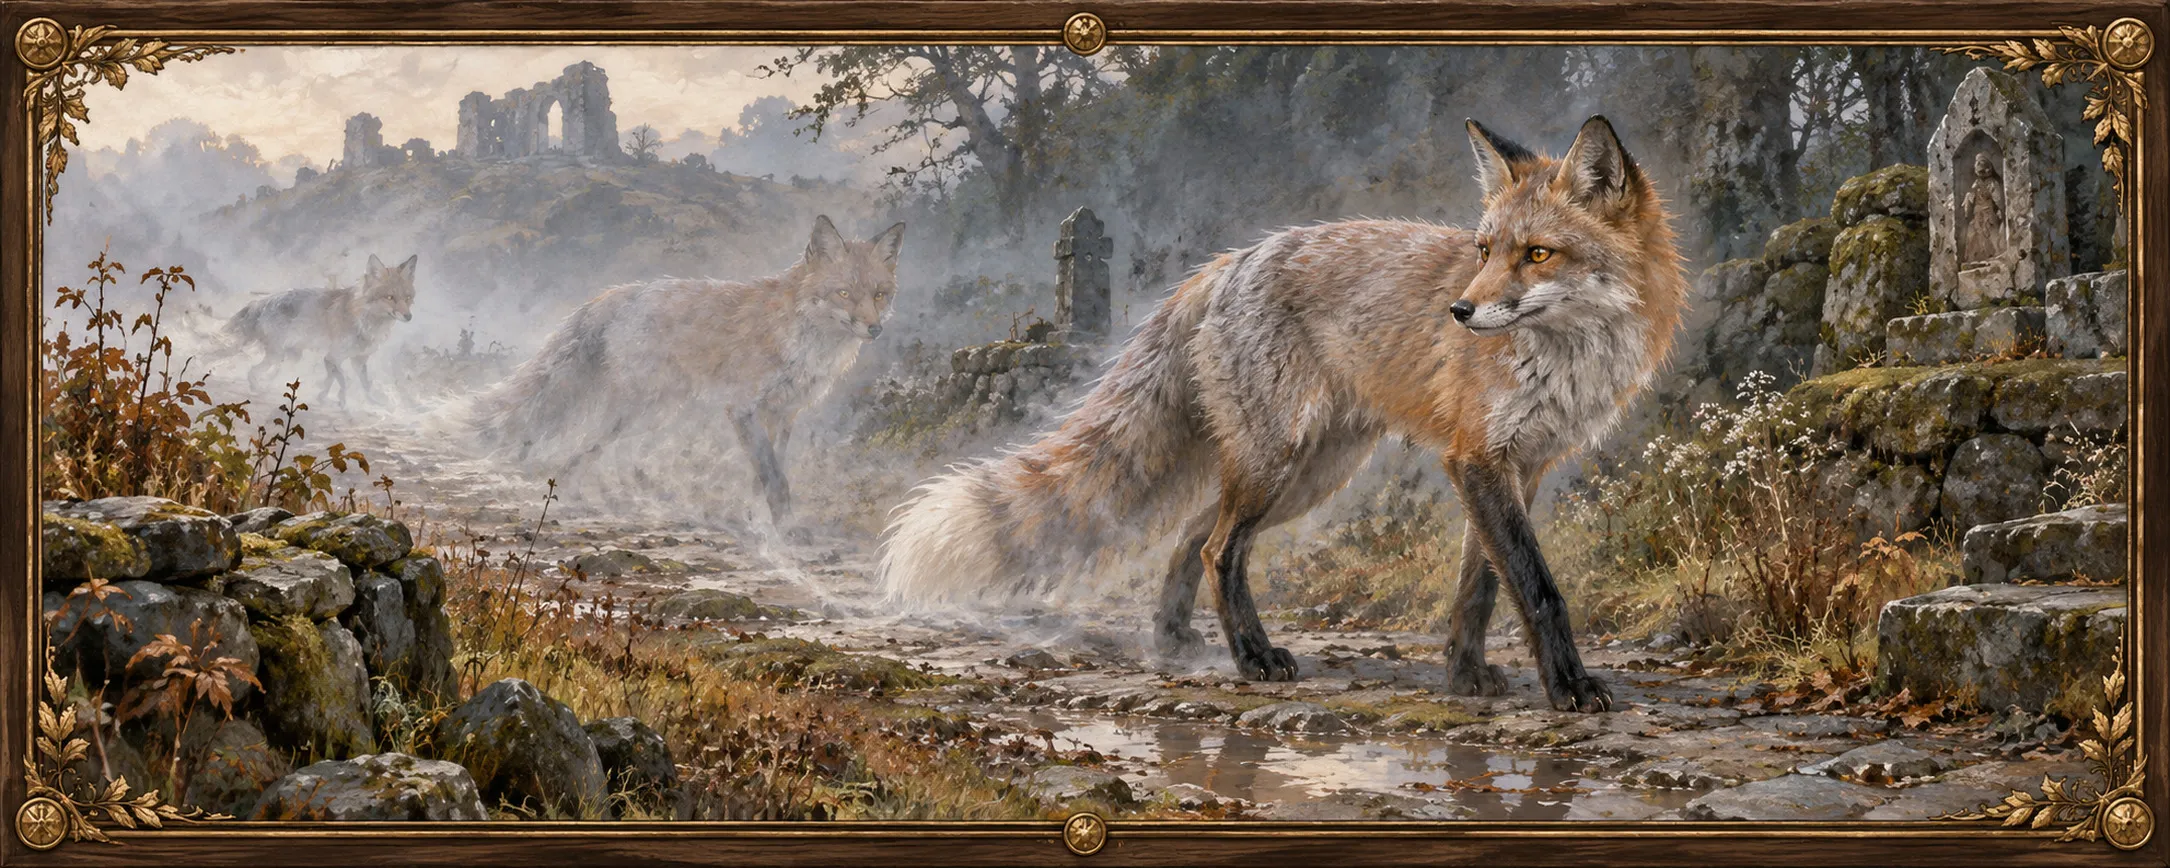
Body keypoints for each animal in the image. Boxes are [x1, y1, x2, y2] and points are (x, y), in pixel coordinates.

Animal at [224, 253, 418, 406]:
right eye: (390, 297)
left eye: (408, 297)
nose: (409, 317)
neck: (366, 323)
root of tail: (262, 301)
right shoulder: (333, 357)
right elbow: (342, 382)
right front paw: (342, 402)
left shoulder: (358, 360)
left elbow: (362, 384)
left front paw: (369, 402)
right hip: (276, 356)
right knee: (252, 371)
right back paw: (257, 388)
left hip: (292, 357)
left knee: (273, 374)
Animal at [471, 215, 905, 523]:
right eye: (843, 293)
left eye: (879, 294)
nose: (875, 329)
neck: (804, 341)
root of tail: (622, 292)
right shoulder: (743, 408)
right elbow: (775, 479)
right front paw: (787, 533)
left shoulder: (783, 413)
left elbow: (768, 474)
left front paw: (758, 519)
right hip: (640, 411)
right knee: (583, 444)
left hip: (652, 413)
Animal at [879, 116, 1688, 713]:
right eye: (1486, 250)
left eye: (1538, 254)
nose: (1459, 312)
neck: (1569, 360)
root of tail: (1230, 260)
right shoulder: (1478, 460)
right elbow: (1537, 587)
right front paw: (1569, 689)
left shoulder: (1517, 464)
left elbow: (1483, 585)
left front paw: (1465, 678)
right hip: (1283, 463)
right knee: (1218, 548)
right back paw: (1252, 658)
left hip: (1309, 472)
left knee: (1193, 534)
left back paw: (1174, 640)